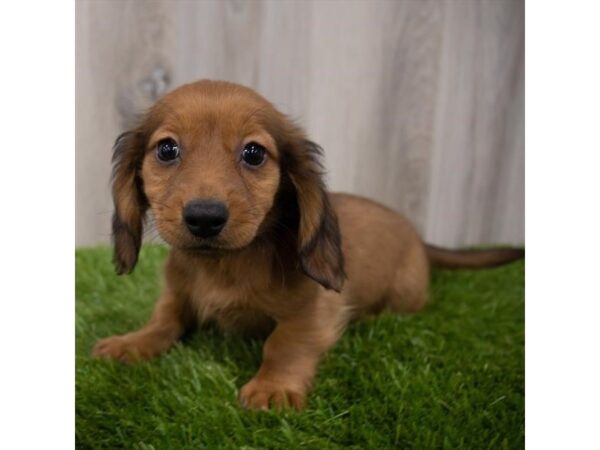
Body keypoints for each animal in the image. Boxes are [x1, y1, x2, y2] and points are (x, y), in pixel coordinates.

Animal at [91, 79, 524, 410]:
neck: (223, 265)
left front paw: (273, 387)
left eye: (253, 153)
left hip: (404, 296)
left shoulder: (313, 310)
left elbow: (283, 343)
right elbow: (164, 320)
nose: (204, 217)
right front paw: (132, 343)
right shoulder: (177, 294)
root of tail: (419, 238)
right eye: (167, 149)